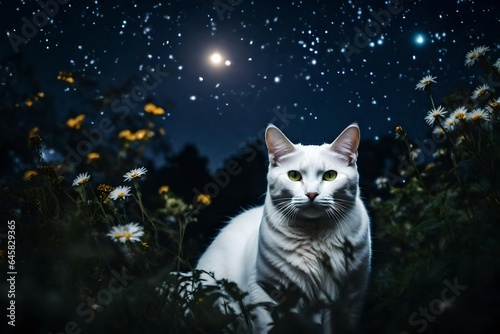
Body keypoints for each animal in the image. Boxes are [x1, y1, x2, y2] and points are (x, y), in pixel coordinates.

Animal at [195, 123, 372, 334]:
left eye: (330, 176)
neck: (315, 238)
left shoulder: (349, 300)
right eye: (294, 176)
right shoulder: (266, 295)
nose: (311, 194)